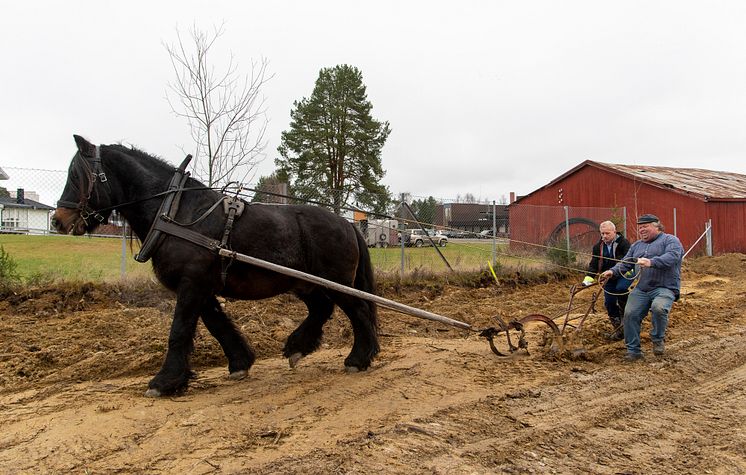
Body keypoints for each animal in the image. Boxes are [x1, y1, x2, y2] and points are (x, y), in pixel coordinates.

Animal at [53, 136, 378, 396]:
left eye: (78, 176)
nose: (59, 221)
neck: (176, 213)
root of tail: (348, 225)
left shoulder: (192, 283)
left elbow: (180, 330)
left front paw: (164, 382)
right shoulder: (200, 287)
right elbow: (217, 325)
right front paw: (239, 363)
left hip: (336, 281)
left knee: (359, 311)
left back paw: (359, 359)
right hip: (305, 283)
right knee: (322, 309)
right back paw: (298, 347)